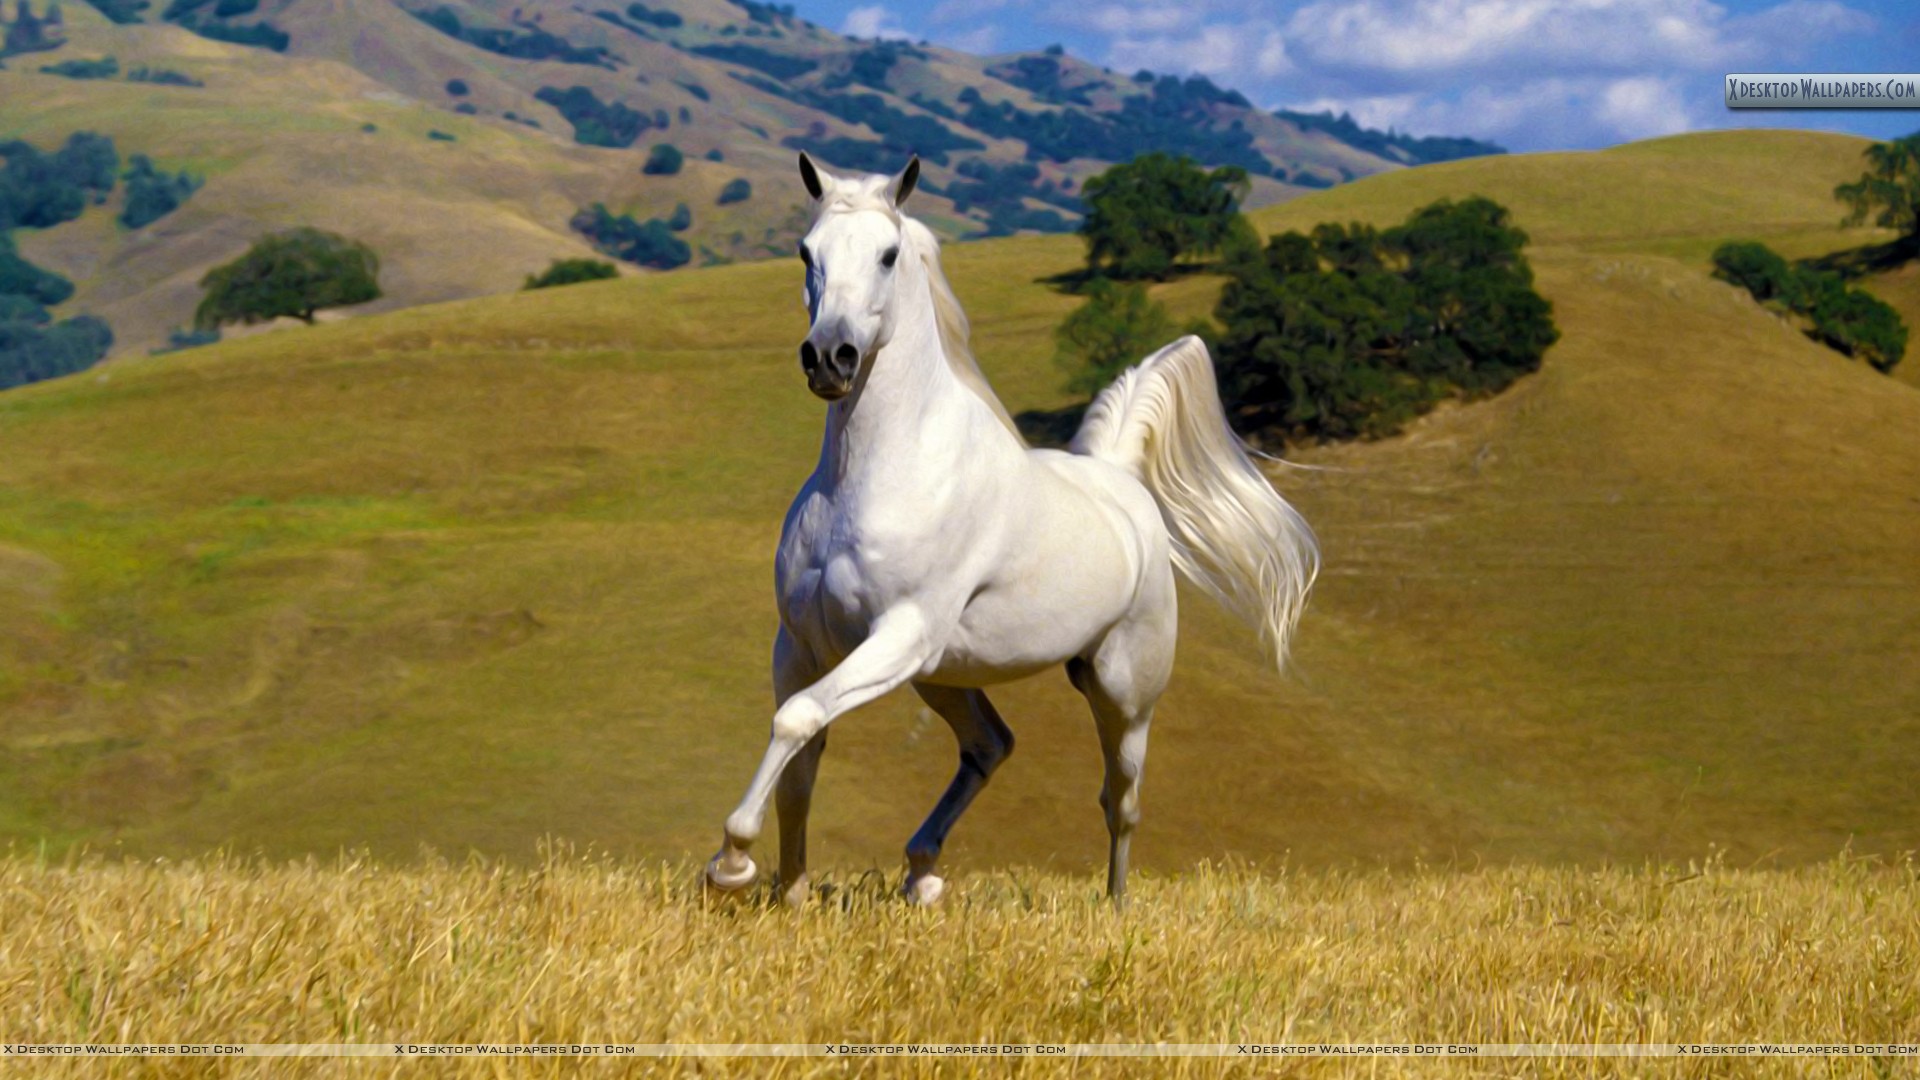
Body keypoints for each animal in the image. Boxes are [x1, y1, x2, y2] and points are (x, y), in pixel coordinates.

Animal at [704, 153, 1318, 906]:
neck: (872, 476)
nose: (830, 357)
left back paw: (1114, 907)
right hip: (940, 674)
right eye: (805, 252)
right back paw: (921, 873)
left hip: (1120, 691)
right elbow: (800, 756)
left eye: (888, 254)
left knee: (1120, 801)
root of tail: (1119, 480)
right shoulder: (802, 644)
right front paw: (787, 894)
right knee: (991, 744)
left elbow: (796, 720)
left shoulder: (898, 633)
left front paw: (731, 864)